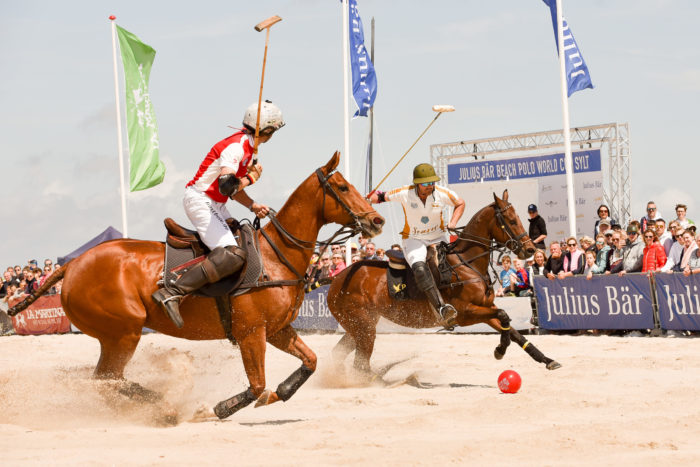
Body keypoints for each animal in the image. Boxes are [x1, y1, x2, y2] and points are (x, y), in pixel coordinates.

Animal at [9, 153, 382, 420]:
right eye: (344, 188)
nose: (377, 220)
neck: (277, 256)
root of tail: (72, 265)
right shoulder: (251, 332)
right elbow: (256, 384)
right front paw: (218, 408)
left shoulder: (277, 329)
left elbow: (310, 361)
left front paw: (278, 393)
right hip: (123, 332)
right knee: (105, 380)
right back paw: (164, 405)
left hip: (114, 336)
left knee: (104, 381)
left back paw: (160, 404)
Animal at [328, 190, 564, 376]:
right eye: (512, 220)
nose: (530, 249)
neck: (467, 263)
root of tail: (334, 281)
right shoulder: (465, 313)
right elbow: (504, 316)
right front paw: (499, 351)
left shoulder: (486, 308)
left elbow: (512, 330)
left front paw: (547, 360)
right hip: (363, 325)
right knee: (359, 363)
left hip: (359, 325)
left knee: (341, 353)